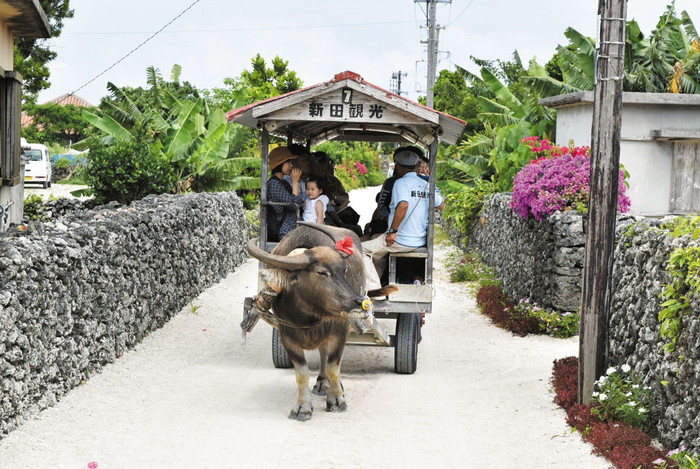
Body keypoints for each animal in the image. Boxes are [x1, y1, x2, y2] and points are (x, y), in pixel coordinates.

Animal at [246, 222, 392, 420]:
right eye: (322, 272)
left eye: (344, 270)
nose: (359, 301)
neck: (307, 314)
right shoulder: (287, 336)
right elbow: (302, 373)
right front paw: (302, 407)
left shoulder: (339, 332)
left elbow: (333, 367)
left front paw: (337, 399)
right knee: (322, 354)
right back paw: (322, 383)